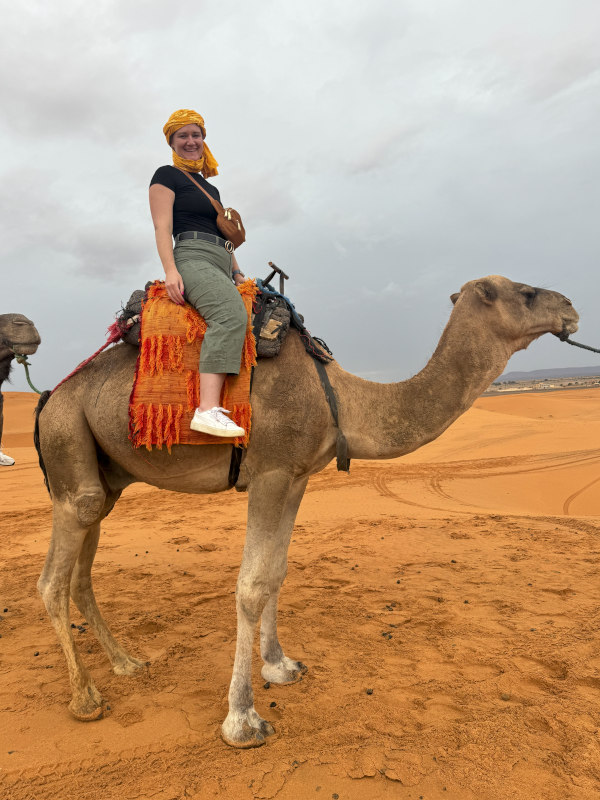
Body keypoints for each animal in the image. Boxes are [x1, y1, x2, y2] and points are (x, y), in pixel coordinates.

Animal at [34, 275, 578, 747]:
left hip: (104, 474)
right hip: (68, 444)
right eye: (527, 293)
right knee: (53, 576)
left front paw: (281, 666)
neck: (339, 399)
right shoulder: (271, 472)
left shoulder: (296, 477)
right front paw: (242, 719)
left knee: (82, 569)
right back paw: (86, 698)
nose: (571, 308)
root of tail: (48, 398)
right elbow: (251, 586)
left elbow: (276, 572)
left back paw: (127, 663)